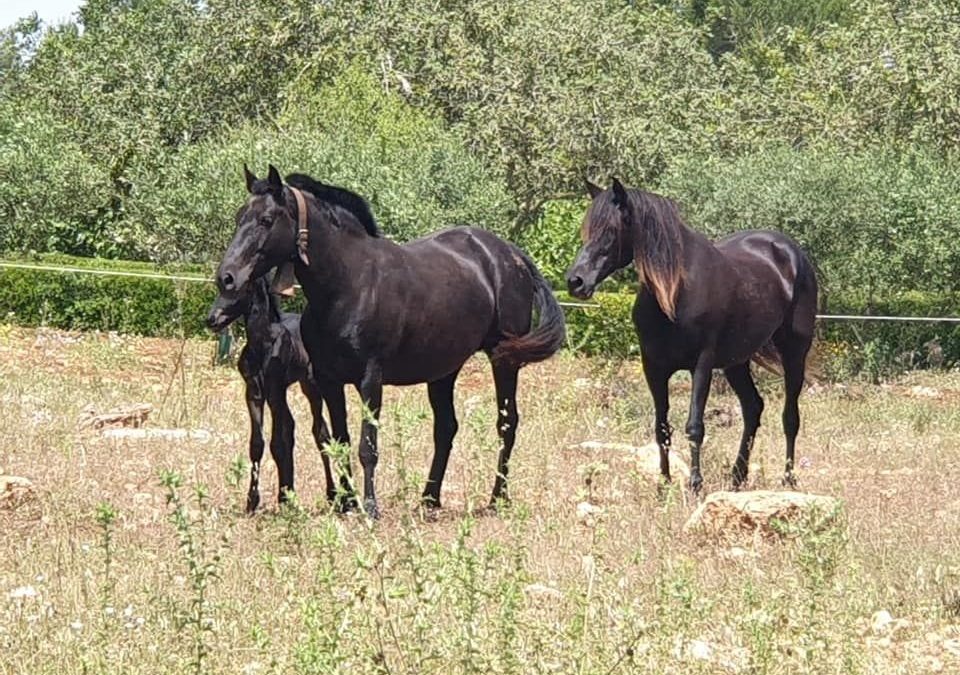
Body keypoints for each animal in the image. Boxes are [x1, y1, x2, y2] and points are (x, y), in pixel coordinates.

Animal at [207, 274, 356, 512]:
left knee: (320, 433)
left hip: (310, 386)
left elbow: (277, 443)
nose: (212, 319)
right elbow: (257, 444)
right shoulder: (254, 393)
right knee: (292, 427)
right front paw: (253, 501)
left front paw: (282, 498)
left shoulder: (275, 390)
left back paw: (331, 493)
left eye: (237, 287)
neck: (263, 343)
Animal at [568, 178, 820, 496]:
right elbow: (661, 427)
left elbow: (695, 425)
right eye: (587, 231)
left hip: (794, 353)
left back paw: (788, 479)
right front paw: (663, 485)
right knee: (753, 408)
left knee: (790, 417)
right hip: (736, 362)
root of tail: (789, 251)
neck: (675, 292)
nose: (575, 282)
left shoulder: (702, 364)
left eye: (612, 230)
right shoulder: (653, 367)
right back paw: (737, 477)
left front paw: (695, 484)